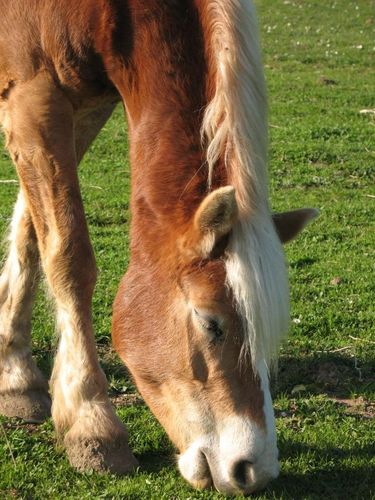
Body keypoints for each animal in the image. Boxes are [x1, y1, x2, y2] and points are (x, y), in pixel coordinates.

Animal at [0, 0, 318, 492]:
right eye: (211, 324)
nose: (252, 470)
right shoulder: (33, 93)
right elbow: (68, 255)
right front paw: (92, 425)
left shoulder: (83, 101)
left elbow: (31, 234)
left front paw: (15, 376)